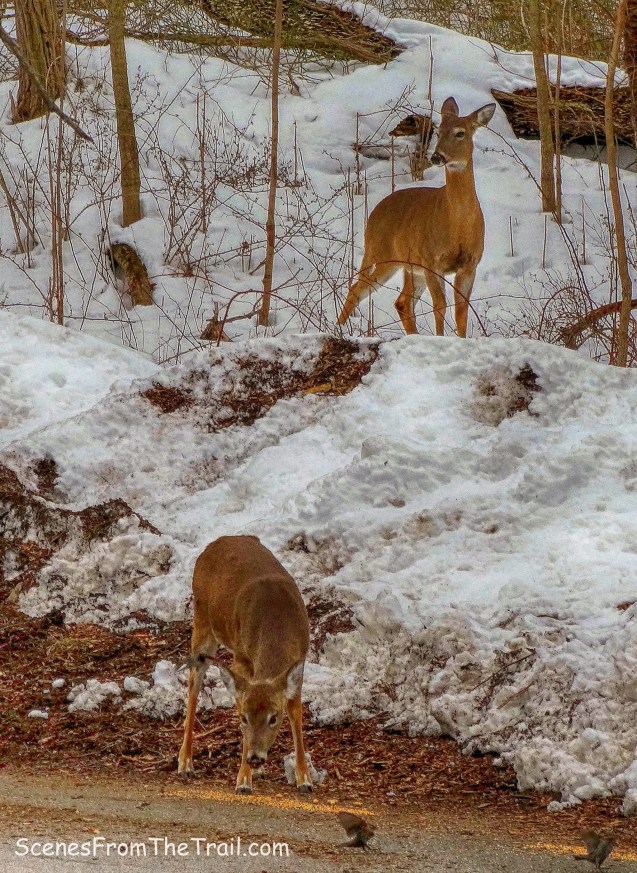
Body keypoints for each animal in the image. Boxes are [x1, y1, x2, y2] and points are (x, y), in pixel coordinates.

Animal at [178, 535, 313, 795]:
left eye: (274, 717)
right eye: (243, 718)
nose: (255, 757)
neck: (277, 626)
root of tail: (217, 542)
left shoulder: (299, 662)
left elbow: (296, 712)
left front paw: (305, 779)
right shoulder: (241, 657)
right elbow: (240, 701)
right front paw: (243, 780)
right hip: (202, 619)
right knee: (193, 682)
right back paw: (185, 763)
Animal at [337, 97, 496, 337]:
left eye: (460, 133)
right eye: (438, 132)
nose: (437, 156)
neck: (458, 224)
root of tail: (373, 214)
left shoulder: (470, 264)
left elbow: (461, 310)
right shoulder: (432, 260)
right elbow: (440, 305)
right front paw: (440, 338)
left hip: (410, 266)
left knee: (402, 301)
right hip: (382, 253)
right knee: (357, 288)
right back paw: (337, 330)